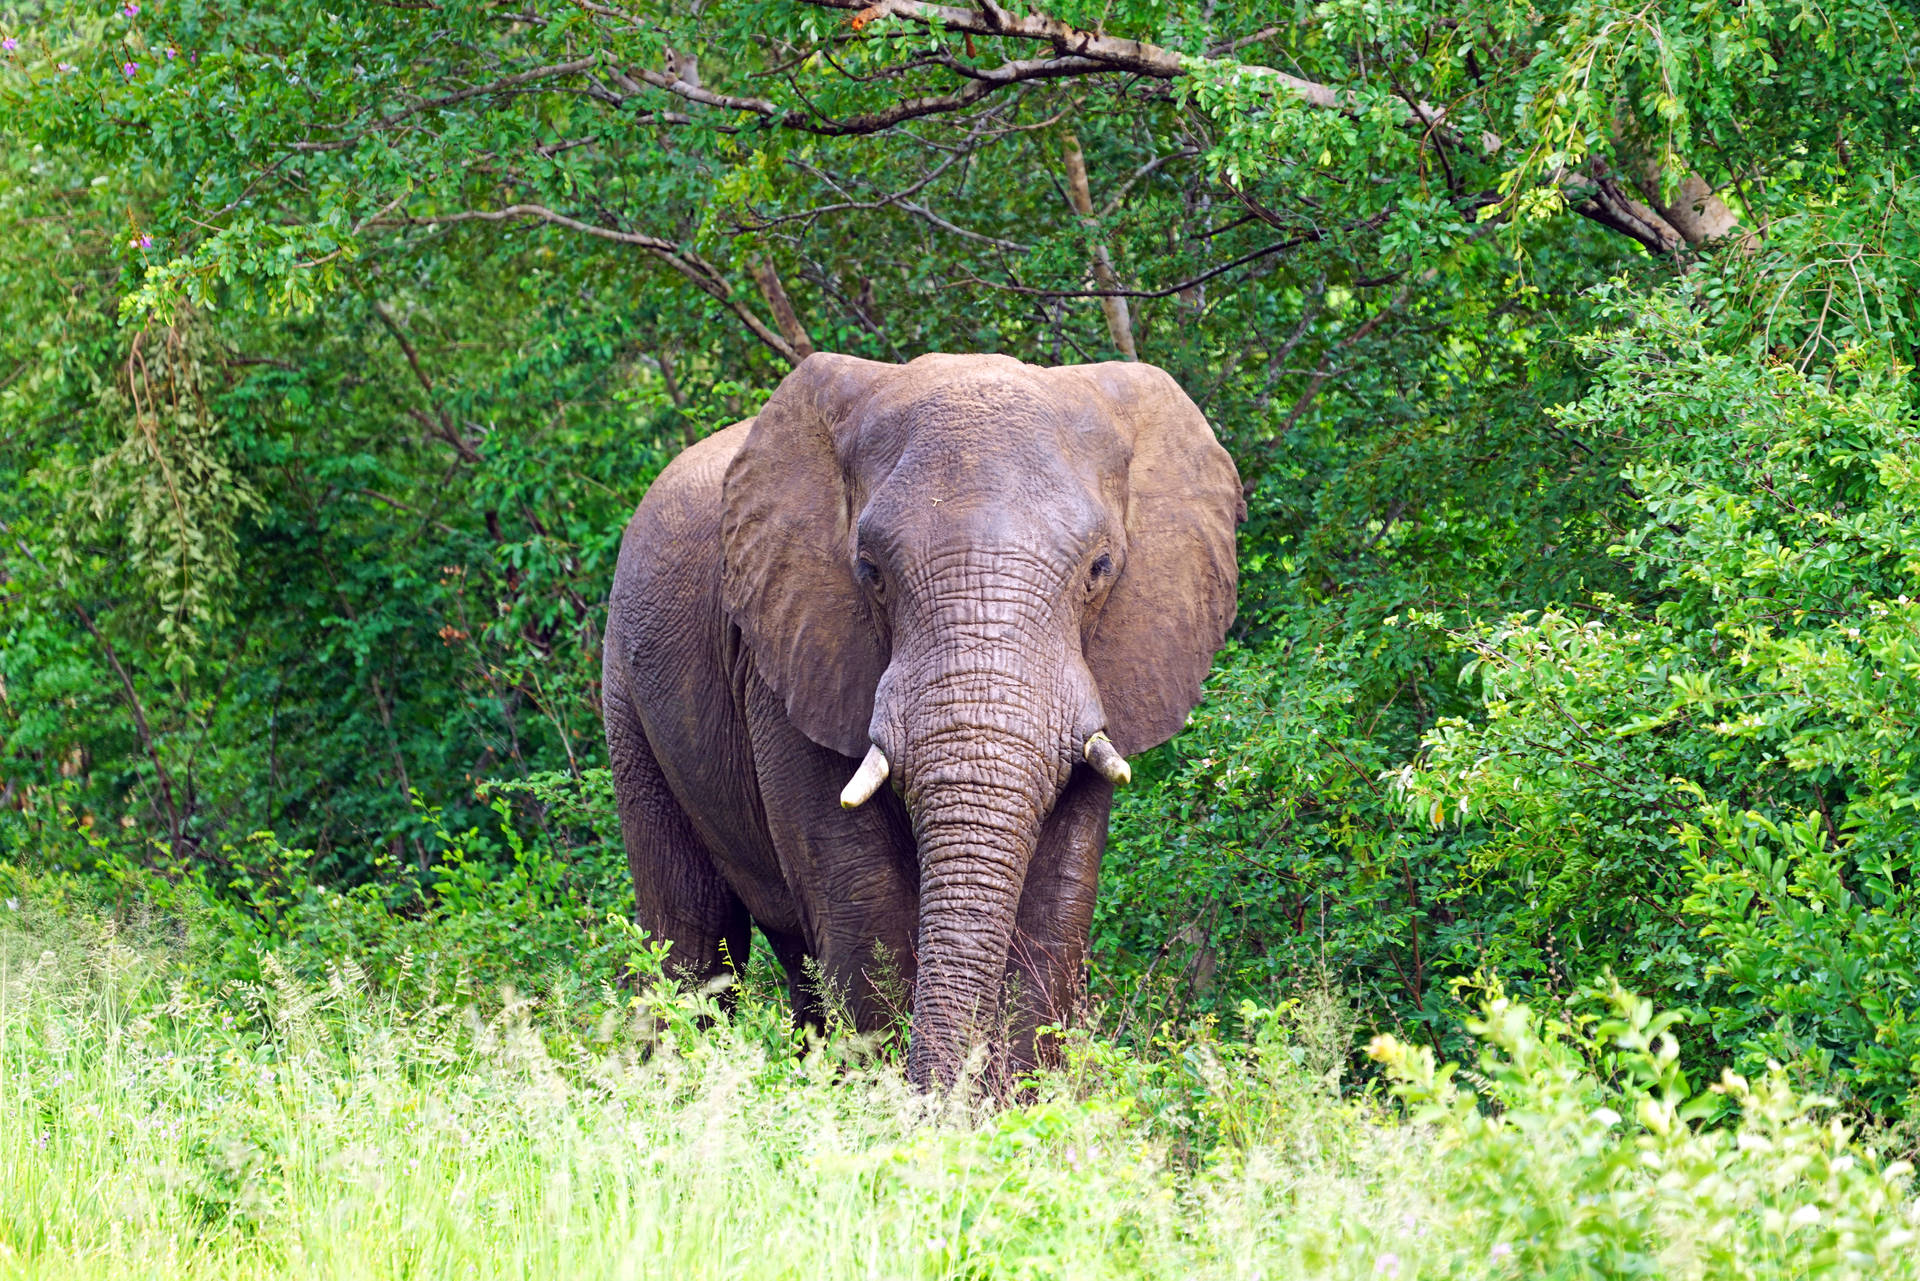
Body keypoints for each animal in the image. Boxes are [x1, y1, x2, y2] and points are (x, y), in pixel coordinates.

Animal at [606, 353, 1251, 1090]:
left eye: (1101, 568)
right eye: (870, 571)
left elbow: (1056, 903)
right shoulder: (789, 651)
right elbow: (865, 898)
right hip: (627, 686)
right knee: (690, 934)